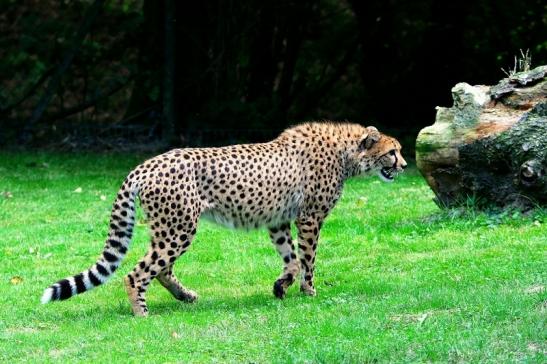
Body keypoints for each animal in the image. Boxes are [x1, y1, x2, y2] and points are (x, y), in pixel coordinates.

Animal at [41, 122, 406, 316]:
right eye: (392, 151)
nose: (404, 165)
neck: (347, 153)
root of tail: (144, 164)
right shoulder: (309, 218)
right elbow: (308, 259)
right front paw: (309, 292)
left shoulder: (278, 220)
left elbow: (290, 258)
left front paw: (281, 286)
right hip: (179, 228)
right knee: (139, 272)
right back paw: (141, 312)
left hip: (168, 228)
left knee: (161, 269)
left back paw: (186, 296)